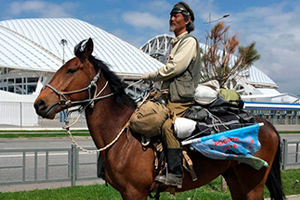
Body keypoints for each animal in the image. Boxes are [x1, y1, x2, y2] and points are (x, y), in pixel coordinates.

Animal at [34, 38, 284, 200]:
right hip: (234, 179)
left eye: (71, 70)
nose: (40, 104)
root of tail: (268, 125)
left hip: (253, 185)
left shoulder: (135, 193)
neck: (123, 138)